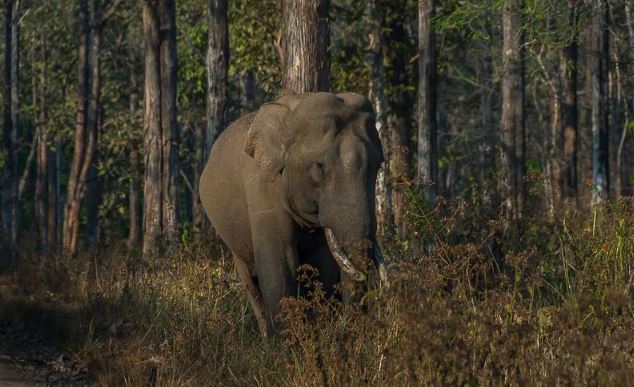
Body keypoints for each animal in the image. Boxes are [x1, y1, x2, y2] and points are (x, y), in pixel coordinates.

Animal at [199, 91, 386, 336]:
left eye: (379, 164)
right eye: (319, 167)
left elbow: (321, 266)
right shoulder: (261, 190)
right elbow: (278, 262)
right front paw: (287, 341)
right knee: (251, 281)